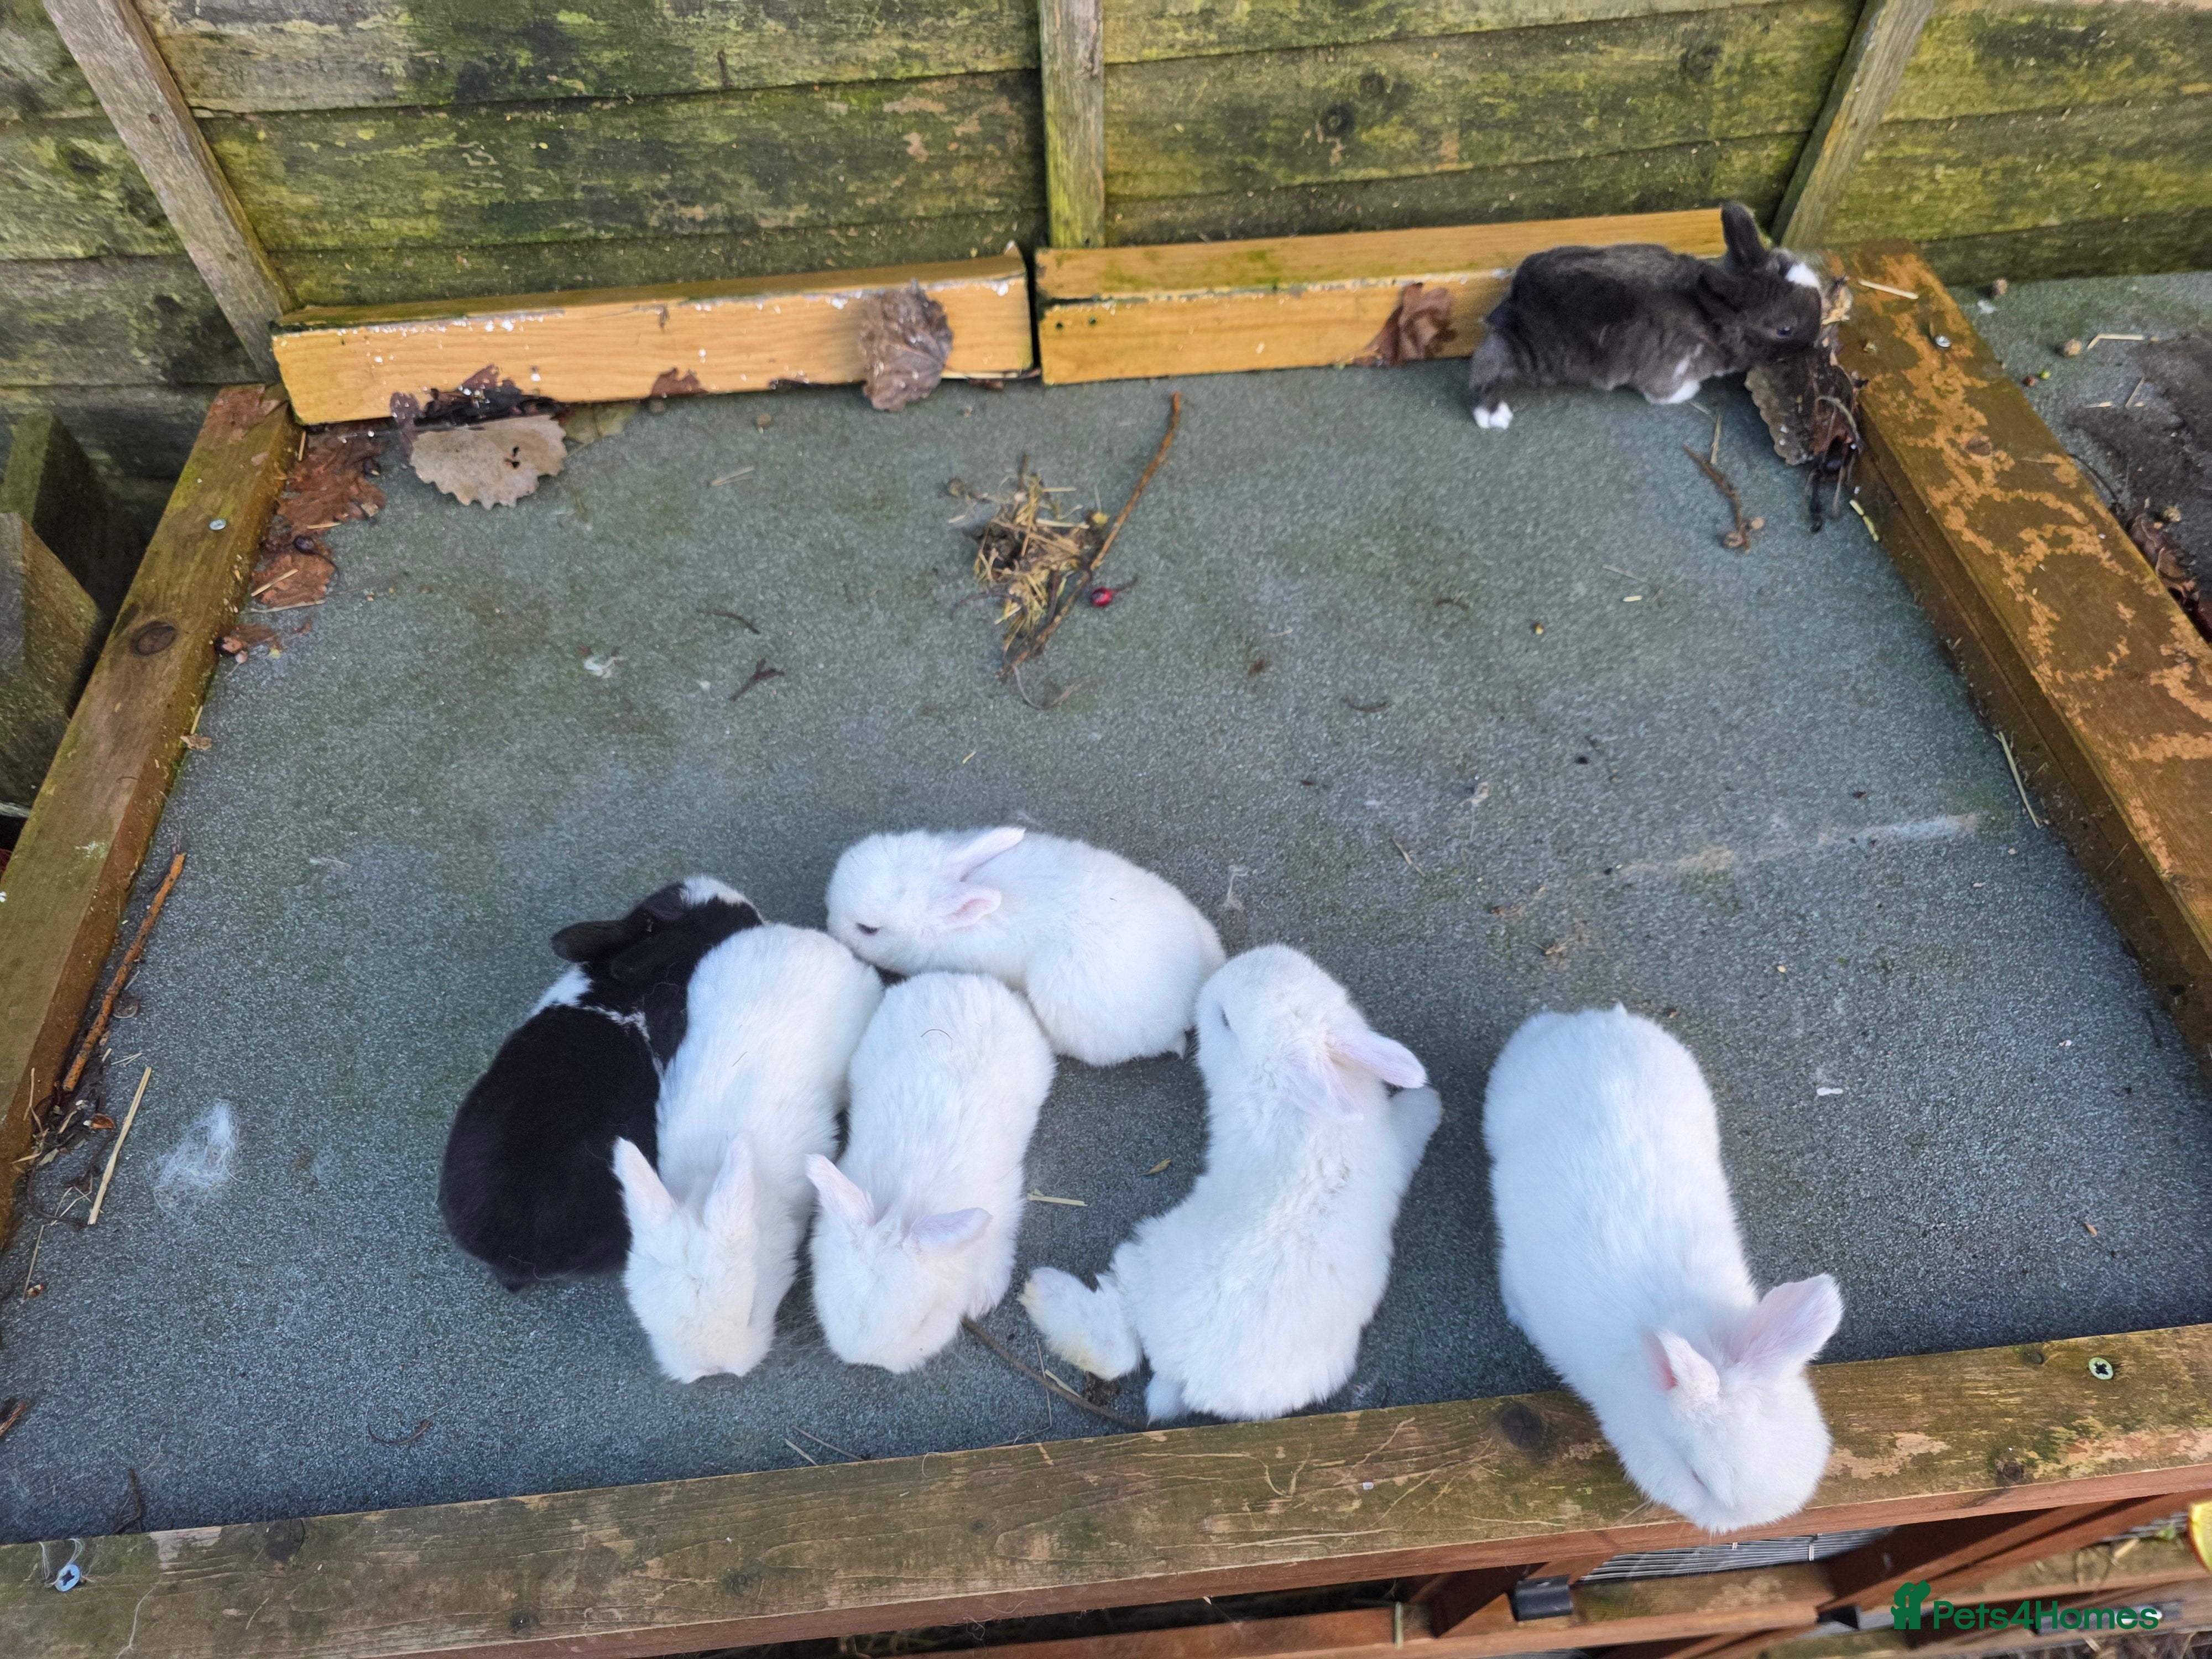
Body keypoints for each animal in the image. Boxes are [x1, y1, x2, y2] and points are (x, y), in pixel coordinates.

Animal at [1020, 945, 1440, 1421]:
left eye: (1225, 1019)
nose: (1213, 981)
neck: (1294, 1102)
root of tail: (1180, 1371)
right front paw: (1432, 1099)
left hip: (1142, 1257)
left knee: (1117, 1342)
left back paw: (1041, 1288)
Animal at [1467, 201, 1822, 429]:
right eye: (1786, 329)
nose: (1815, 342)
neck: (1712, 321)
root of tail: (1516, 296)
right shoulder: (1669, 370)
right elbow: (1663, 394)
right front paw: (1689, 393)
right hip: (1529, 354)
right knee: (1492, 369)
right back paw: (1493, 416)